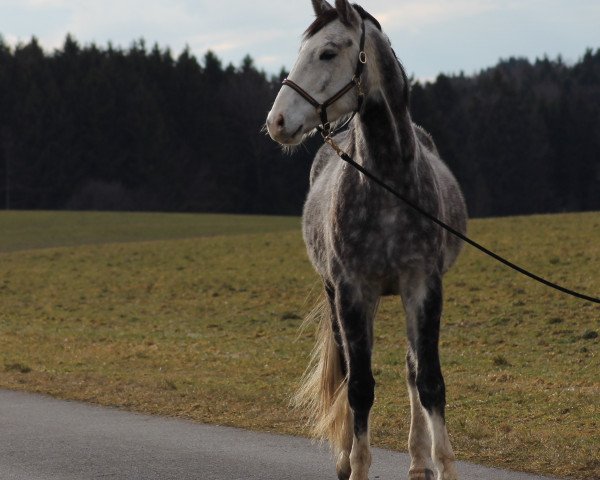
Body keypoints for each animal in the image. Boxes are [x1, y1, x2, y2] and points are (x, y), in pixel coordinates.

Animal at [268, 1, 468, 478]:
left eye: (327, 53)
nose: (277, 122)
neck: (388, 181)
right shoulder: (352, 291)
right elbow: (359, 386)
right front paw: (356, 464)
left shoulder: (423, 287)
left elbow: (429, 380)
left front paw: (443, 464)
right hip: (339, 295)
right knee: (346, 369)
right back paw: (346, 456)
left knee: (412, 370)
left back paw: (419, 460)